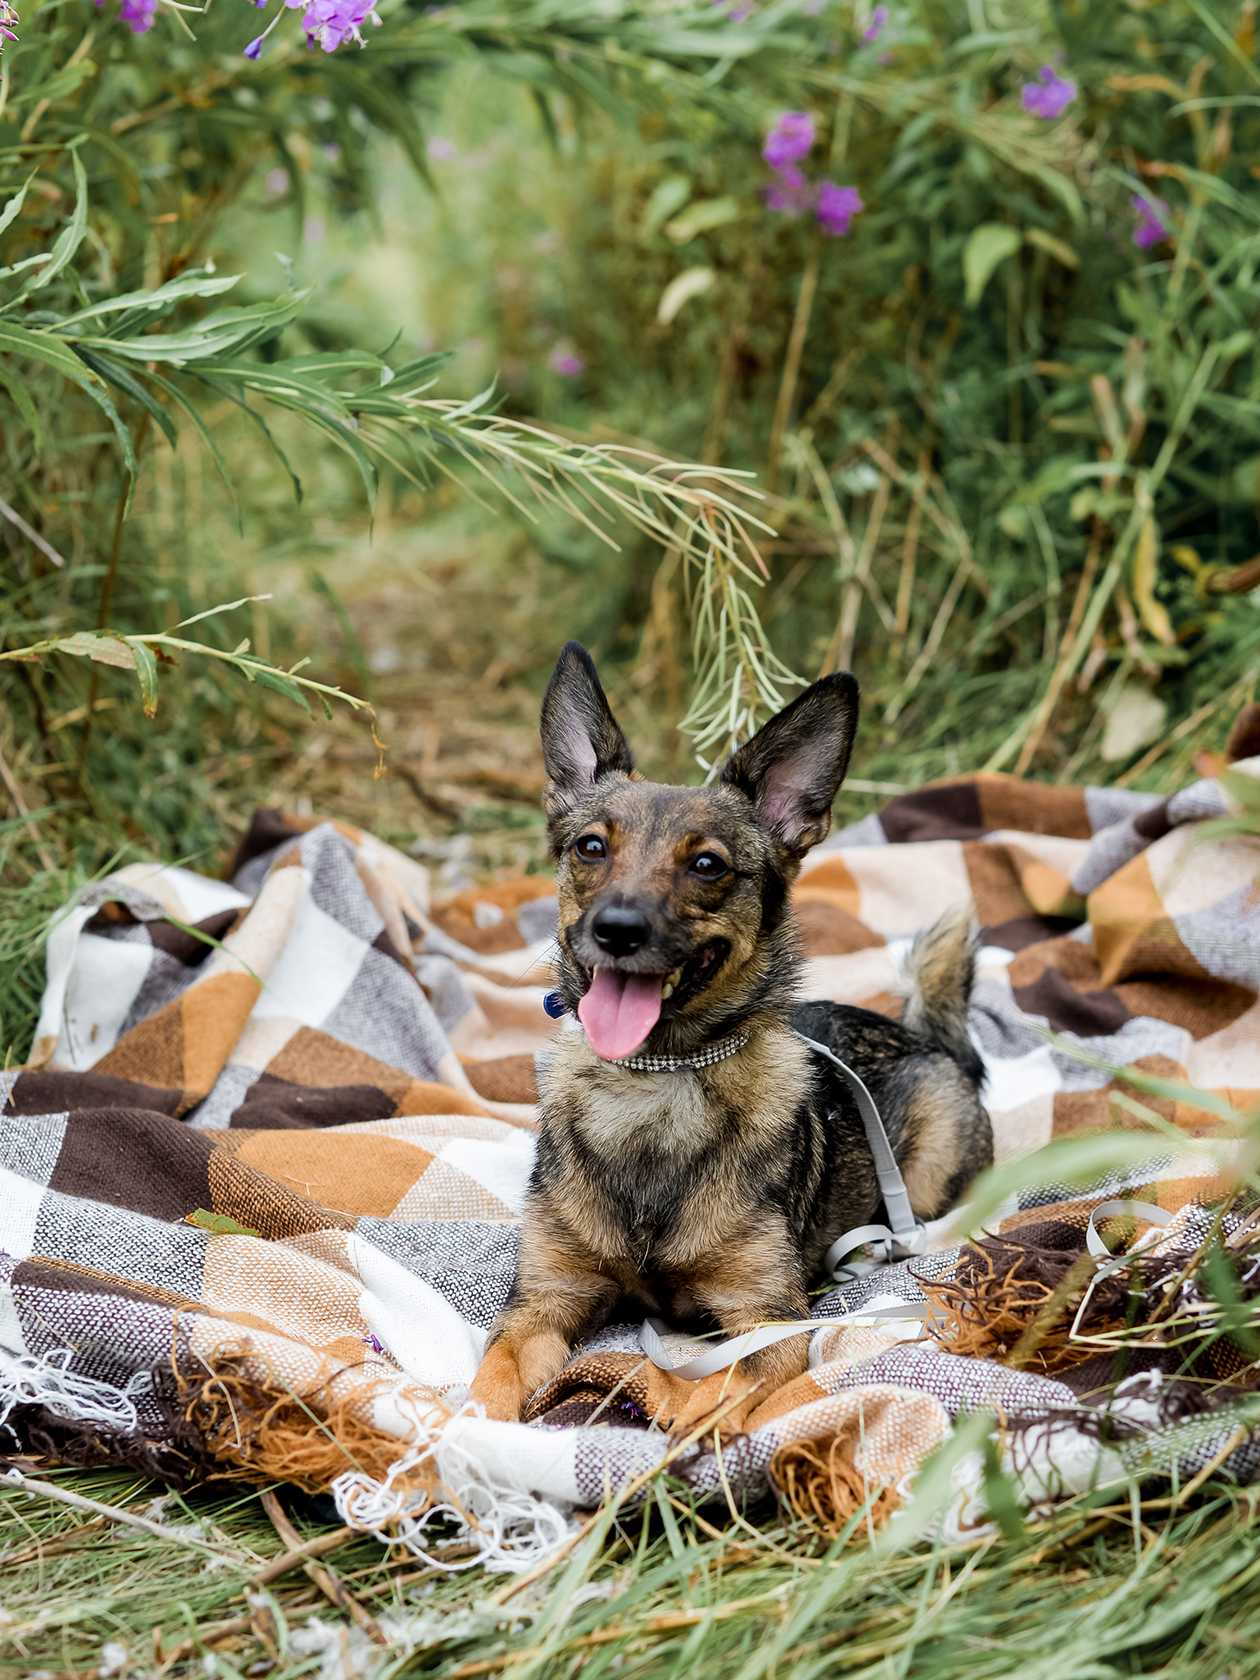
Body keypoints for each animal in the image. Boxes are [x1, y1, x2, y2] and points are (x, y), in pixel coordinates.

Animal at [470, 641, 994, 1431]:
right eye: (590, 848)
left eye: (707, 864)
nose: (616, 930)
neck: (652, 1087)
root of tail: (920, 1034)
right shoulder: (542, 1305)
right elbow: (488, 1387)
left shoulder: (765, 1323)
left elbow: (706, 1392)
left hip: (927, 1176)